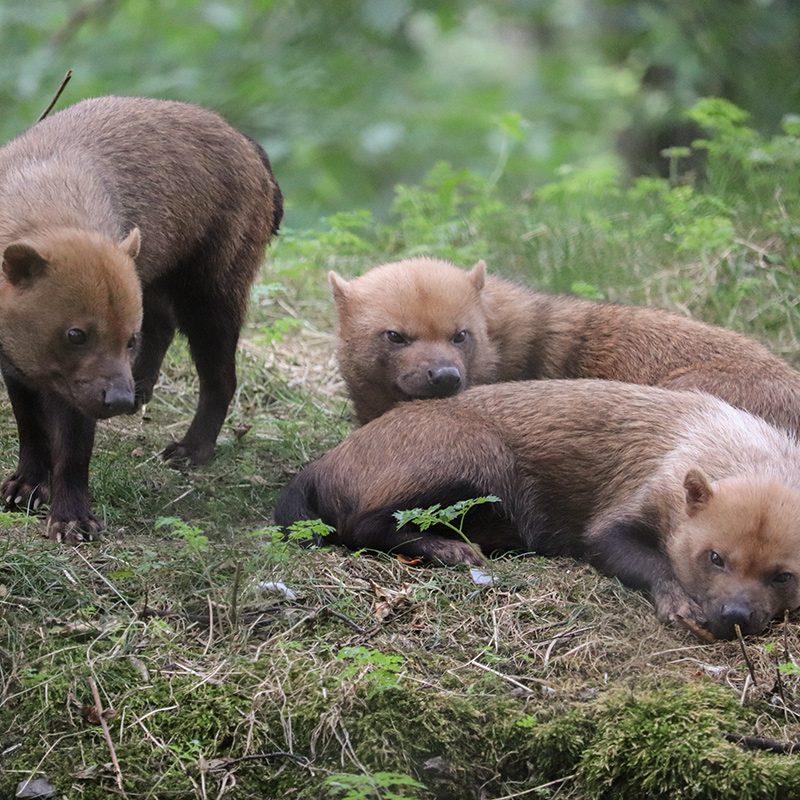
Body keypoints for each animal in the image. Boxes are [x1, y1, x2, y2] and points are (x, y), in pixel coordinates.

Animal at [0, 95, 282, 544]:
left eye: (126, 339)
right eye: (75, 334)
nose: (118, 399)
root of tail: (249, 144)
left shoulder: (81, 387)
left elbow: (74, 449)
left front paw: (73, 520)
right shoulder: (14, 360)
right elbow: (30, 427)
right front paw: (24, 487)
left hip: (212, 295)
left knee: (220, 377)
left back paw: (190, 450)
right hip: (157, 279)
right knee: (165, 327)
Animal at [274, 378, 800, 640]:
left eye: (784, 575)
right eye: (715, 557)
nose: (736, 615)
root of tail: (323, 463)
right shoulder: (619, 516)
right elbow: (647, 560)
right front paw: (678, 605)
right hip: (478, 460)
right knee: (362, 523)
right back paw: (450, 550)